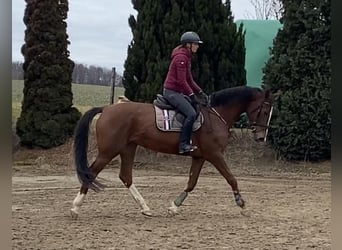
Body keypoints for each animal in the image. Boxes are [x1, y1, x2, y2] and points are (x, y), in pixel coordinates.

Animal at [70, 85, 278, 218]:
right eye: (264, 110)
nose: (261, 137)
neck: (217, 115)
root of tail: (107, 109)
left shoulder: (200, 157)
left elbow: (191, 183)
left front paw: (174, 207)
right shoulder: (215, 155)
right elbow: (231, 178)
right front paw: (242, 205)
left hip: (128, 148)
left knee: (125, 176)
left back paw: (145, 208)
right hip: (109, 151)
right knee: (91, 172)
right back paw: (75, 208)